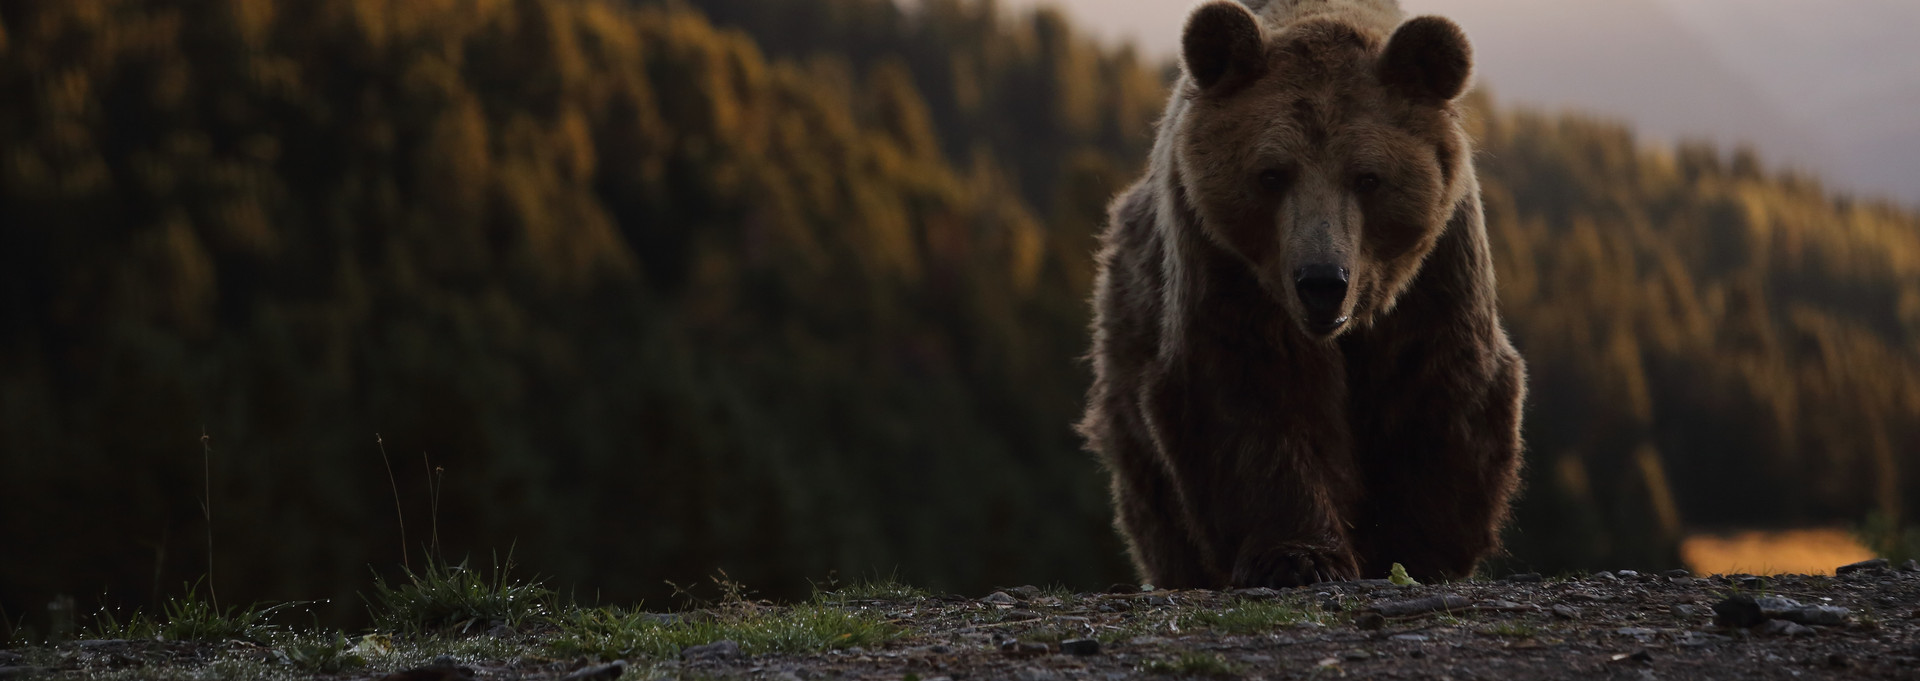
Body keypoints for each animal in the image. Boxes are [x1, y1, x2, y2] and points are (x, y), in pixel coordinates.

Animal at [1078, 0, 1525, 588]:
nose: (1322, 281)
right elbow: (1254, 396)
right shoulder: (1226, 267)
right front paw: (1299, 556)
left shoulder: (1437, 272)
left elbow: (1439, 388)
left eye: (1368, 177)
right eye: (1272, 174)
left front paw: (1418, 551)